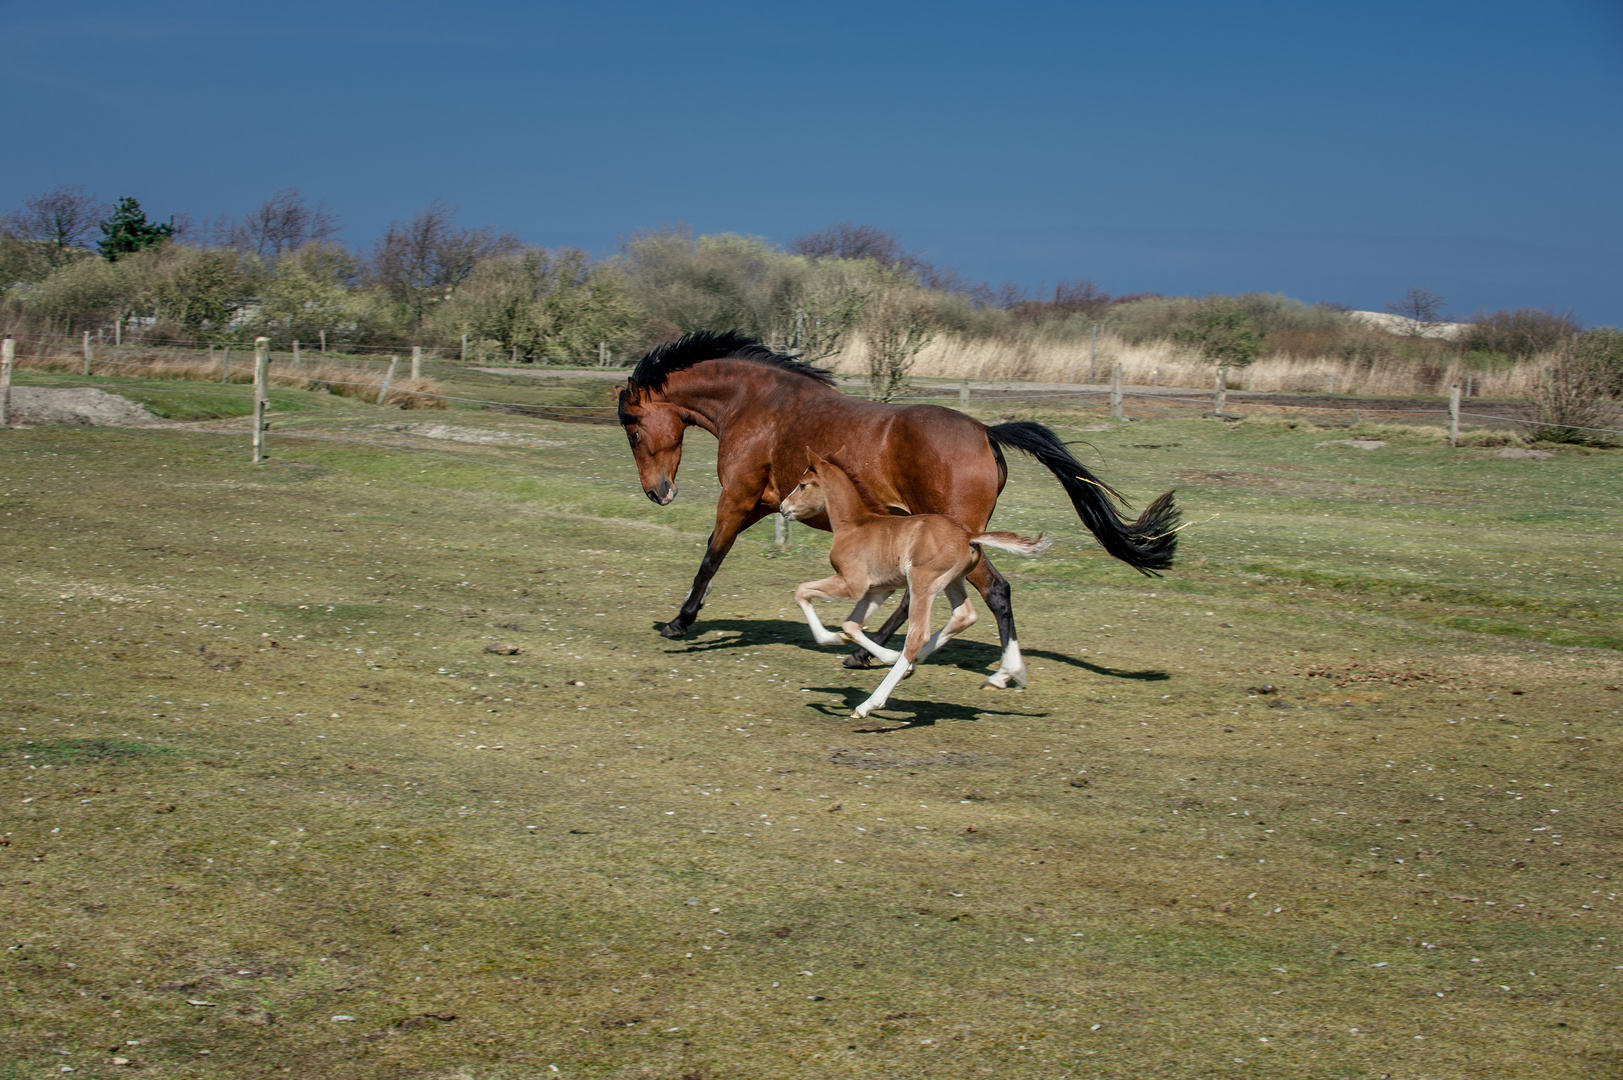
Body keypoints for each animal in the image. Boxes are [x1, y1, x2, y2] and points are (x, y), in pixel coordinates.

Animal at [613, 328, 1175, 685]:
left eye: (633, 430)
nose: (657, 493)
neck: (756, 406)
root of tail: (986, 432)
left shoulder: (739, 499)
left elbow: (711, 556)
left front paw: (680, 622)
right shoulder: (765, 505)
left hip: (955, 537)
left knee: (994, 591)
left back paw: (994, 670)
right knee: (922, 597)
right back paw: (871, 653)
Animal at [782, 451, 1051, 721]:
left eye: (803, 484)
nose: (783, 507)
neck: (855, 525)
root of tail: (968, 535)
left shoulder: (852, 584)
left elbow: (803, 591)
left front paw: (831, 638)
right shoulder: (879, 589)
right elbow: (850, 625)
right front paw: (874, 651)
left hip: (923, 583)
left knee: (917, 636)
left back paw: (869, 704)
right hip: (953, 581)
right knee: (964, 615)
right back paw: (913, 663)